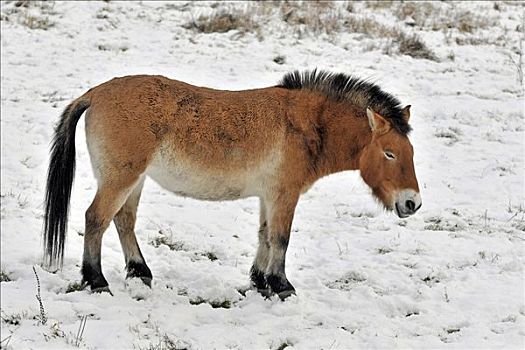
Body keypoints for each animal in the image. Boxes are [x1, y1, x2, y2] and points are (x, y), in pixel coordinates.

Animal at [45, 69, 422, 300]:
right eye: (389, 153)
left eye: (411, 152)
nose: (412, 203)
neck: (309, 125)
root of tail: (94, 94)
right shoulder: (284, 194)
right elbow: (280, 238)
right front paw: (282, 286)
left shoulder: (269, 195)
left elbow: (265, 236)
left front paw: (259, 282)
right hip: (120, 178)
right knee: (96, 218)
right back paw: (97, 281)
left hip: (134, 180)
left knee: (123, 221)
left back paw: (140, 273)